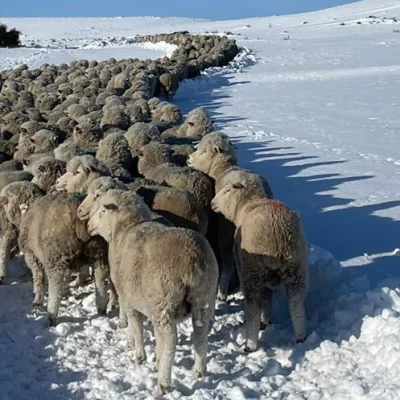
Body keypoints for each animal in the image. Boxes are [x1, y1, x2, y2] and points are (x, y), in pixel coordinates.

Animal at [83, 190, 217, 394]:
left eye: (102, 211)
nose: (89, 226)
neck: (124, 231)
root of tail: (193, 259)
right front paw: (151, 357)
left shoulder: (128, 297)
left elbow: (136, 326)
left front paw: (138, 354)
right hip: (203, 300)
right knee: (200, 338)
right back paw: (199, 372)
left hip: (165, 305)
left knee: (170, 343)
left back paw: (163, 383)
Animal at [211, 183, 308, 352]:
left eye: (227, 191)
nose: (212, 203)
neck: (246, 204)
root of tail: (278, 233)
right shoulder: (269, 280)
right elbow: (267, 300)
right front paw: (266, 321)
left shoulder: (243, 267)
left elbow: (261, 301)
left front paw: (261, 322)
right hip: (296, 269)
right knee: (296, 304)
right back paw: (301, 337)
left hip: (253, 271)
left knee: (253, 306)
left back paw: (250, 344)